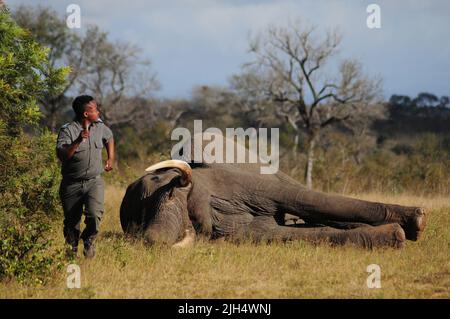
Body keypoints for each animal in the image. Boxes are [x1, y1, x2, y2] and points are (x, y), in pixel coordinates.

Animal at [118, 158, 426, 250]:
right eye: (137, 219)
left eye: (164, 180)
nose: (150, 241)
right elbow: (287, 234)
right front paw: (395, 235)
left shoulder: (236, 181)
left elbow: (301, 198)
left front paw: (416, 221)